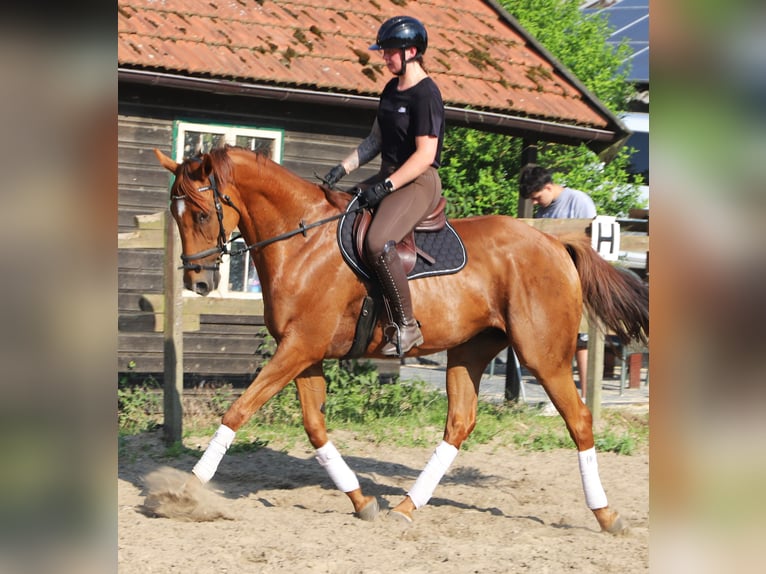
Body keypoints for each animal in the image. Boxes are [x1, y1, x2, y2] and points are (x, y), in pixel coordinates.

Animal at [154, 145, 648, 533]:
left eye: (201, 213)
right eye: (175, 217)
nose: (198, 282)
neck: (302, 241)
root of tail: (557, 245)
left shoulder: (299, 347)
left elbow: (238, 410)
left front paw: (186, 491)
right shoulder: (305, 353)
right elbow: (314, 427)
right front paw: (360, 500)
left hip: (543, 355)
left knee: (578, 420)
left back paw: (606, 515)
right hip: (470, 350)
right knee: (459, 423)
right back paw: (408, 506)